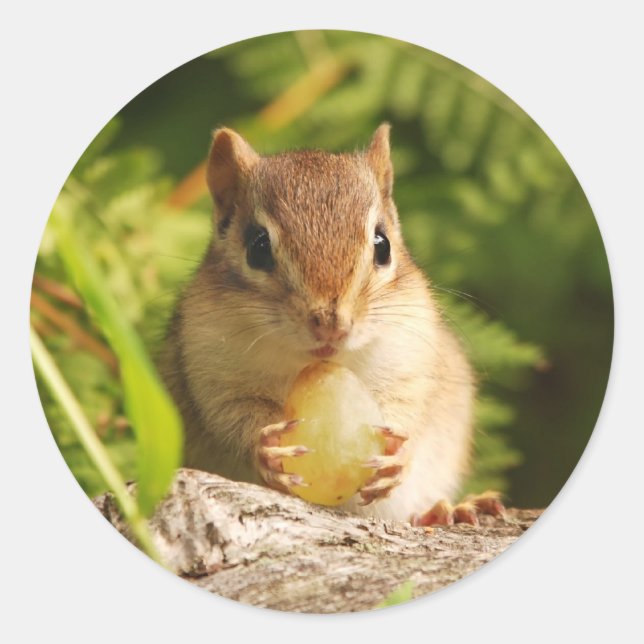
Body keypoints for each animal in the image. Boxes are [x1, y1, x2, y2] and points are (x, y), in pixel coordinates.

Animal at [160, 124, 503, 526]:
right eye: (257, 248)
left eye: (383, 245)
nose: (330, 324)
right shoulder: (212, 372)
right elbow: (230, 418)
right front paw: (266, 448)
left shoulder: (411, 361)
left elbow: (408, 408)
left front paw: (397, 457)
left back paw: (449, 510)